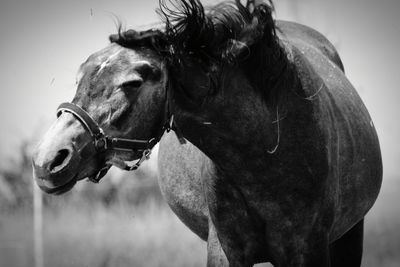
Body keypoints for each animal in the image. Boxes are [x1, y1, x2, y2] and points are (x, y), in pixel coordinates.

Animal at [31, 1, 382, 266]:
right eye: (81, 76)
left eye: (132, 83)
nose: (46, 161)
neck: (271, 154)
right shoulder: (226, 250)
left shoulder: (310, 249)